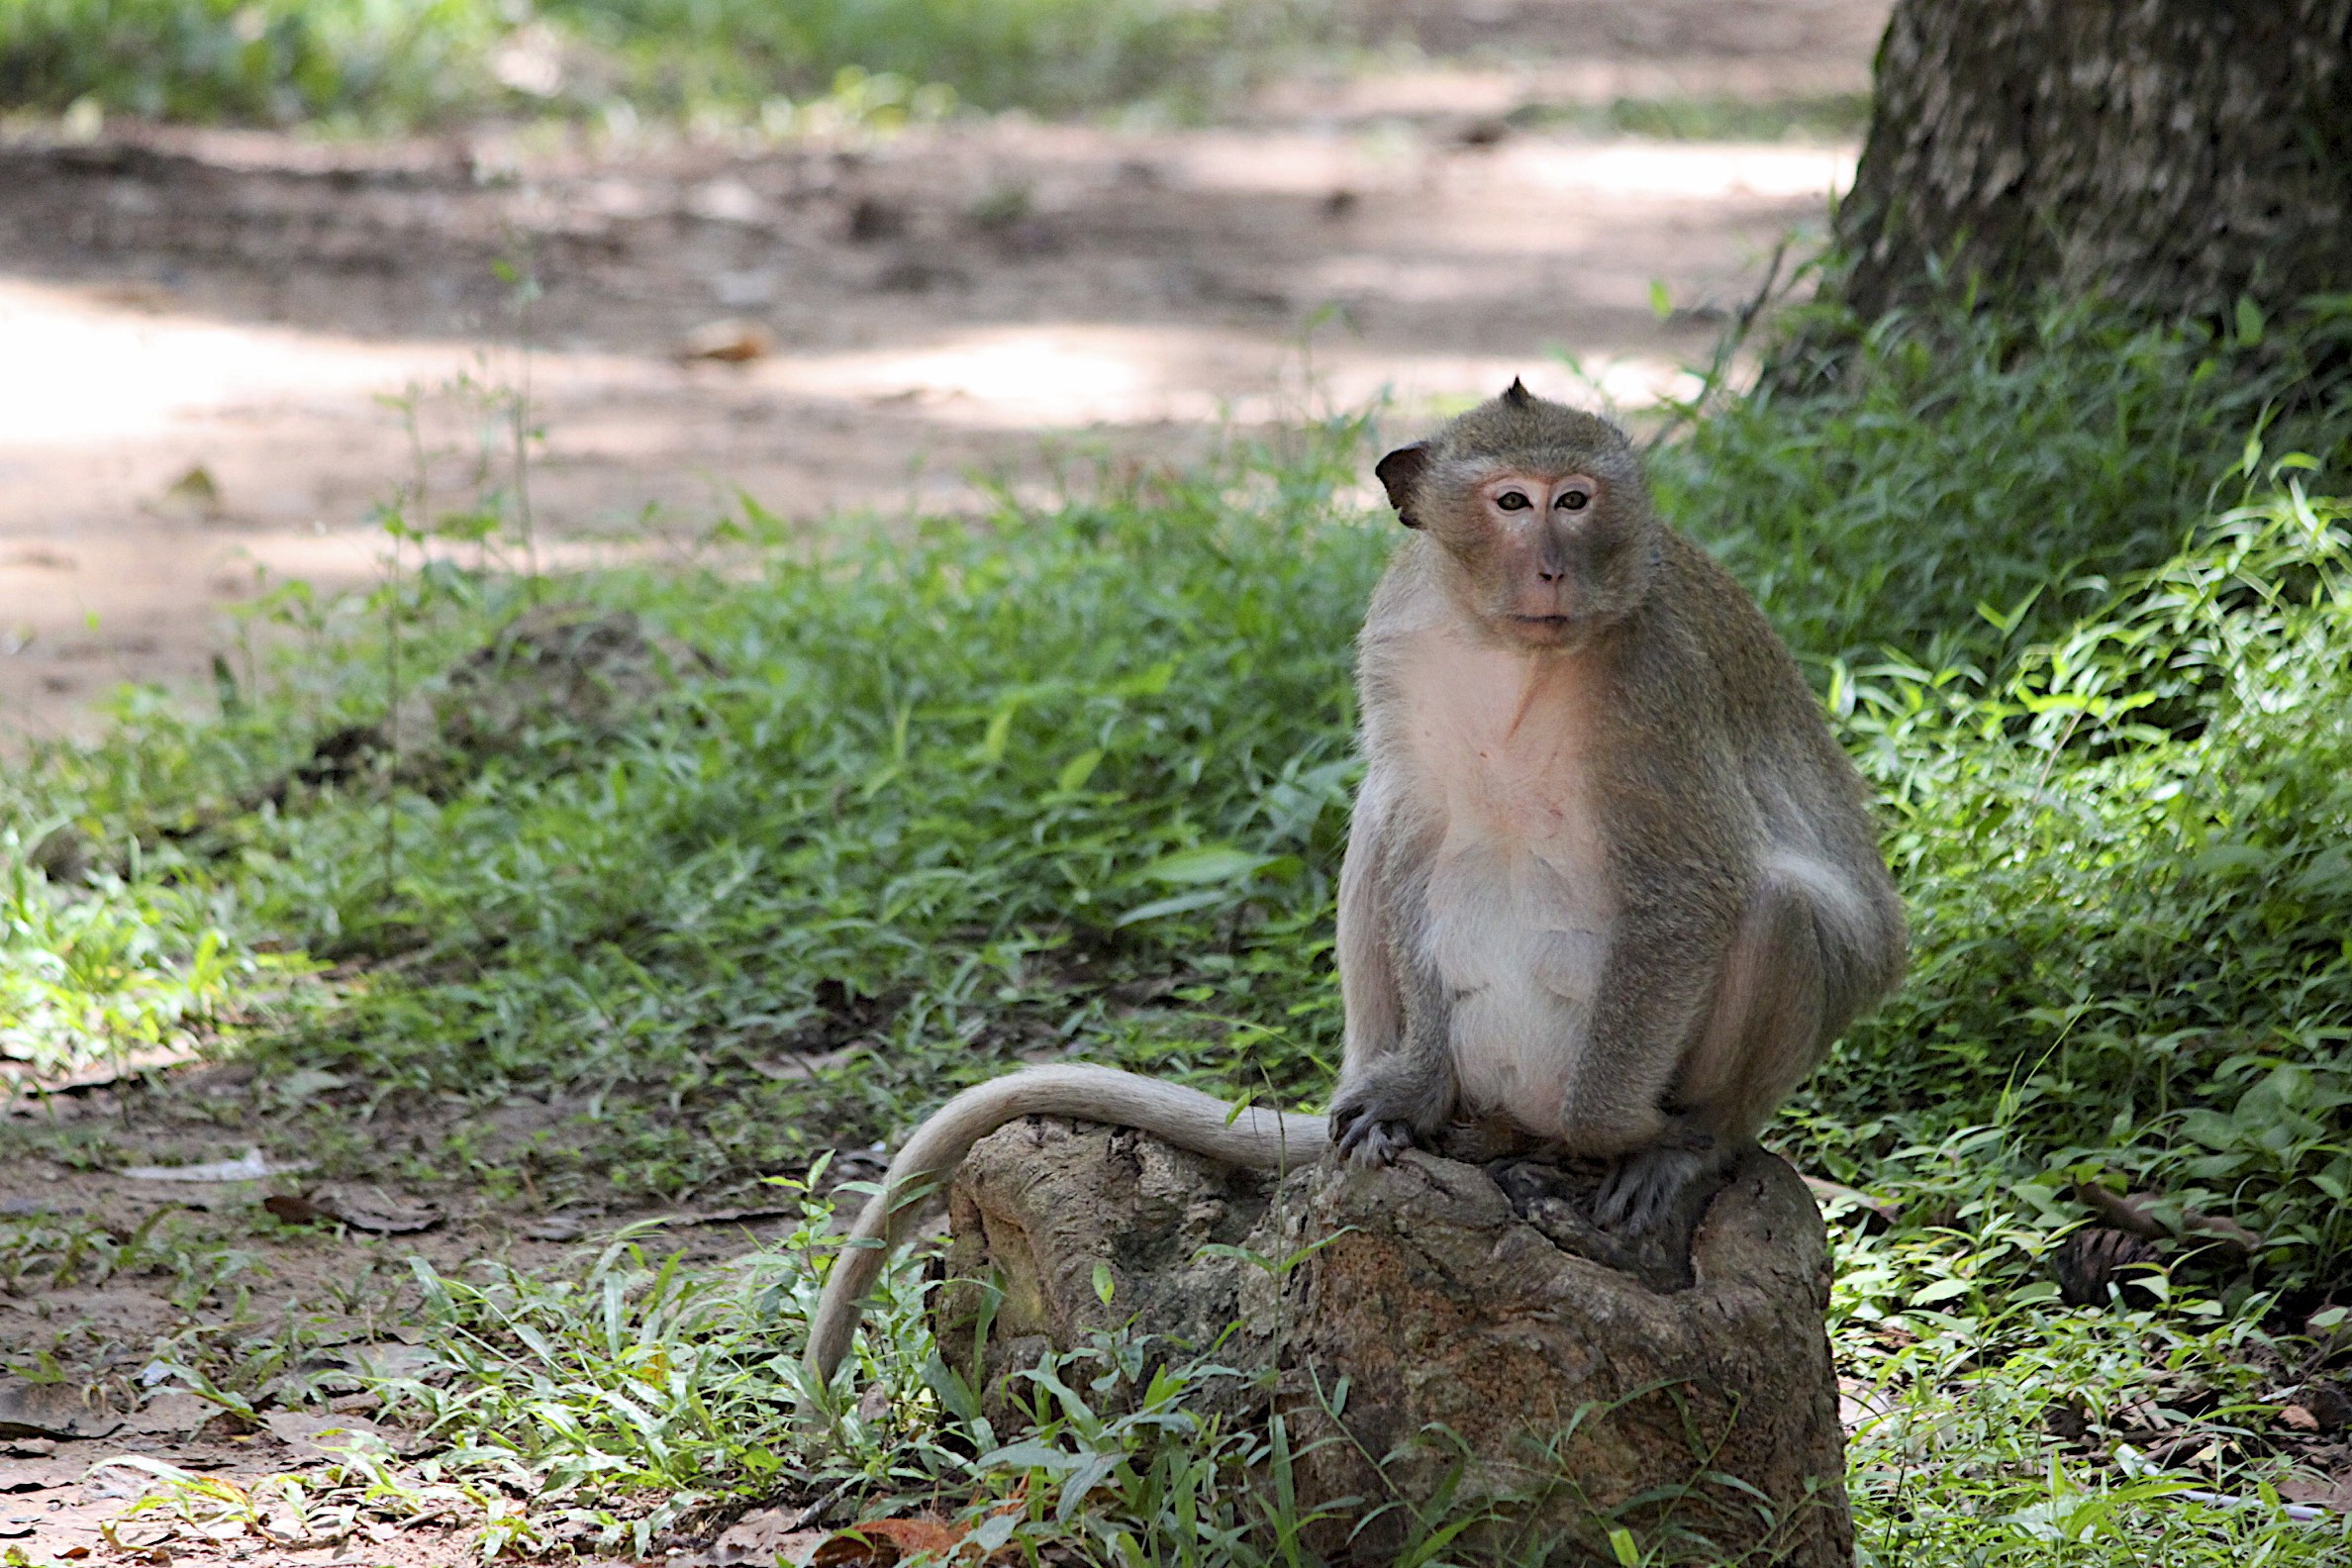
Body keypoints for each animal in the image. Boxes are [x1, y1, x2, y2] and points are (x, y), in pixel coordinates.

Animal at [799, 385, 1900, 1391]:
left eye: (1576, 499)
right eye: (1512, 502)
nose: (1552, 565)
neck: (1508, 649)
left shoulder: (1656, 679)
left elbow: (1692, 884)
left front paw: (1628, 1134)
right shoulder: (1397, 638)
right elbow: (1414, 822)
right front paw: (1413, 1092)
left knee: (1782, 910)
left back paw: (1694, 1144)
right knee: (1380, 816)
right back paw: (1423, 1099)